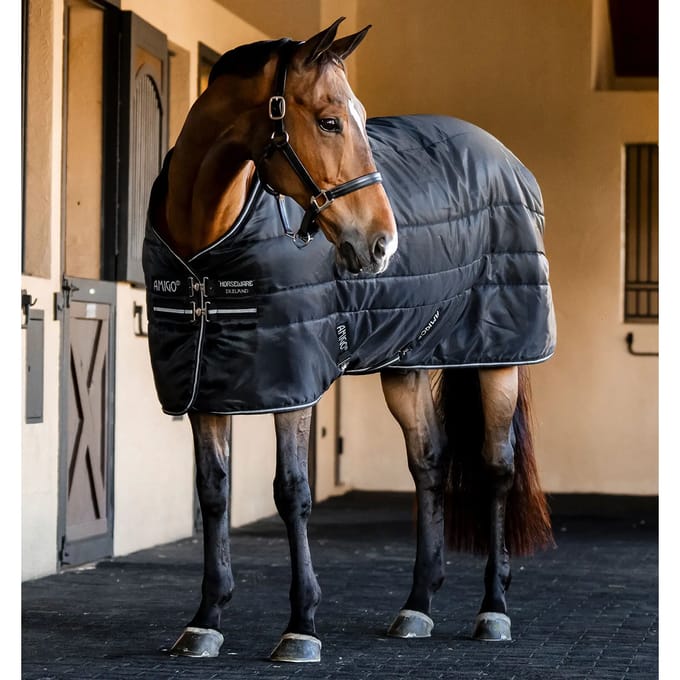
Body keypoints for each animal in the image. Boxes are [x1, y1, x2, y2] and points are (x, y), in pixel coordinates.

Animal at [143, 17, 556, 663]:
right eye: (330, 120)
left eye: (357, 117)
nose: (382, 243)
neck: (205, 251)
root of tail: (509, 161)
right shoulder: (206, 385)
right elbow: (213, 492)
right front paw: (205, 619)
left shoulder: (293, 384)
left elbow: (292, 492)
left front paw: (301, 626)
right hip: (408, 364)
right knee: (429, 463)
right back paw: (416, 607)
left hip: (499, 359)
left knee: (496, 468)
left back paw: (493, 610)